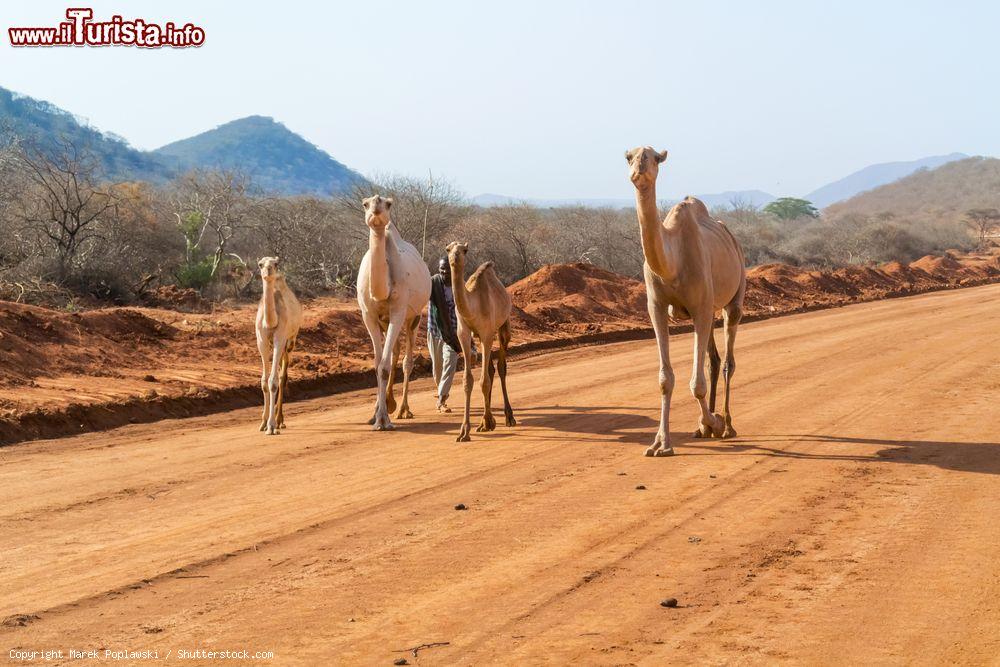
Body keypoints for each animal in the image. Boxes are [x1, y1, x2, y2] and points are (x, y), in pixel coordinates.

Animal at [254, 254, 300, 434]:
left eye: (276, 263)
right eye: (260, 264)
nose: (268, 270)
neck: (270, 322)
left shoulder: (280, 338)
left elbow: (273, 381)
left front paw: (271, 426)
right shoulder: (261, 340)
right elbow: (264, 382)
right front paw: (262, 422)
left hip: (291, 341)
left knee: (282, 376)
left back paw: (280, 420)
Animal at [356, 196, 430, 430]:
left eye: (388, 203)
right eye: (365, 203)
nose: (376, 207)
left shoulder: (398, 311)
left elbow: (385, 366)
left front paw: (383, 420)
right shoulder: (368, 316)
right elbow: (377, 364)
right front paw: (376, 415)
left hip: (413, 318)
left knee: (407, 361)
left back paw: (403, 409)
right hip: (385, 321)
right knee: (395, 352)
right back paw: (388, 403)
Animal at [446, 241, 516, 444]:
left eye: (464, 250)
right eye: (448, 249)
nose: (454, 257)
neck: (473, 307)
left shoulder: (486, 333)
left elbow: (484, 380)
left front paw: (487, 422)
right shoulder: (464, 334)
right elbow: (468, 380)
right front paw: (465, 431)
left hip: (502, 327)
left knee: (501, 367)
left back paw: (509, 417)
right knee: (491, 369)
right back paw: (486, 421)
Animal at [624, 147, 752, 460]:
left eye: (654, 157)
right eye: (628, 156)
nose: (639, 167)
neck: (672, 263)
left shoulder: (700, 307)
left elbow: (697, 383)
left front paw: (714, 422)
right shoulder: (657, 309)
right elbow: (665, 379)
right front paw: (660, 443)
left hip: (733, 298)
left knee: (728, 360)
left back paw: (727, 424)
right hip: (708, 309)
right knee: (714, 360)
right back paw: (704, 426)